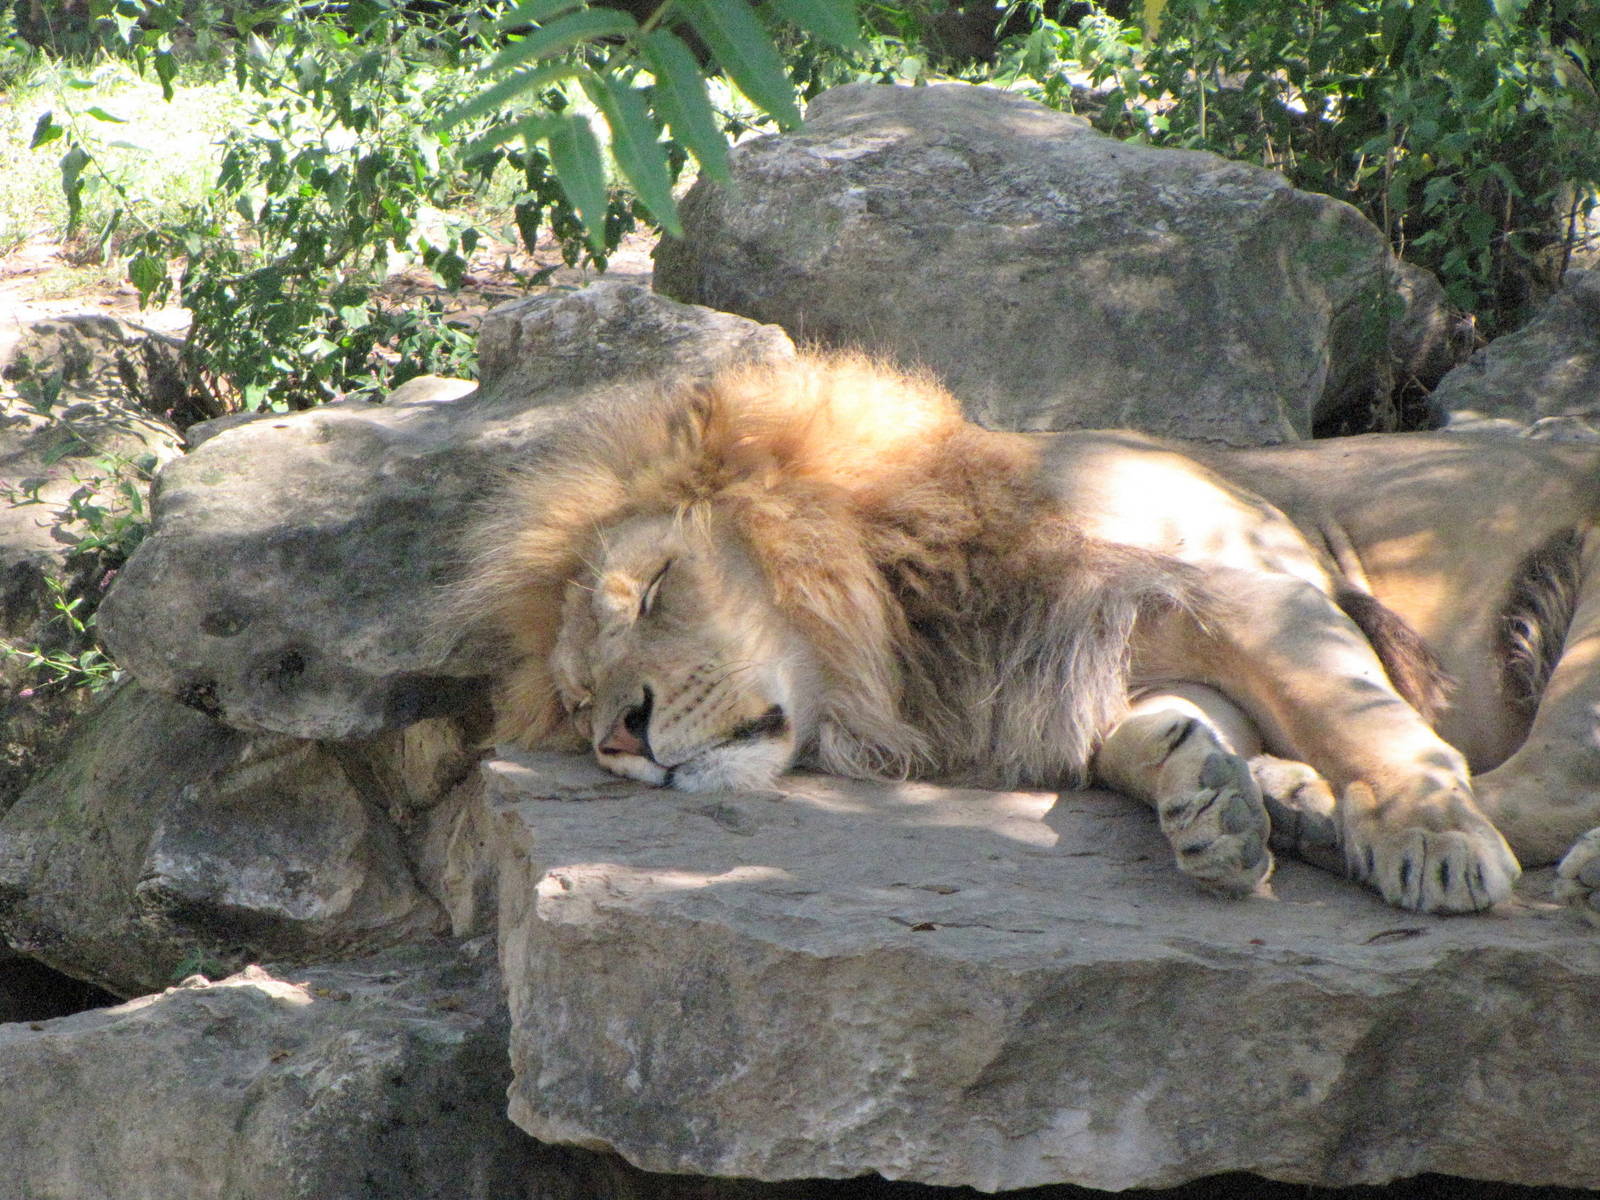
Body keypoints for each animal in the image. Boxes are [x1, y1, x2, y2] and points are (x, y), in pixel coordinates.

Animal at [456, 351, 1600, 919]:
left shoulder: (1253, 581)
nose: (620, 735)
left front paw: (1428, 837)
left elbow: (1365, 721)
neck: (912, 613)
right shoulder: (1113, 654)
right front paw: (1214, 797)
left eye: (654, 591)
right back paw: (1296, 803)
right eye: (579, 699)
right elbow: (1140, 736)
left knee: (1540, 784)